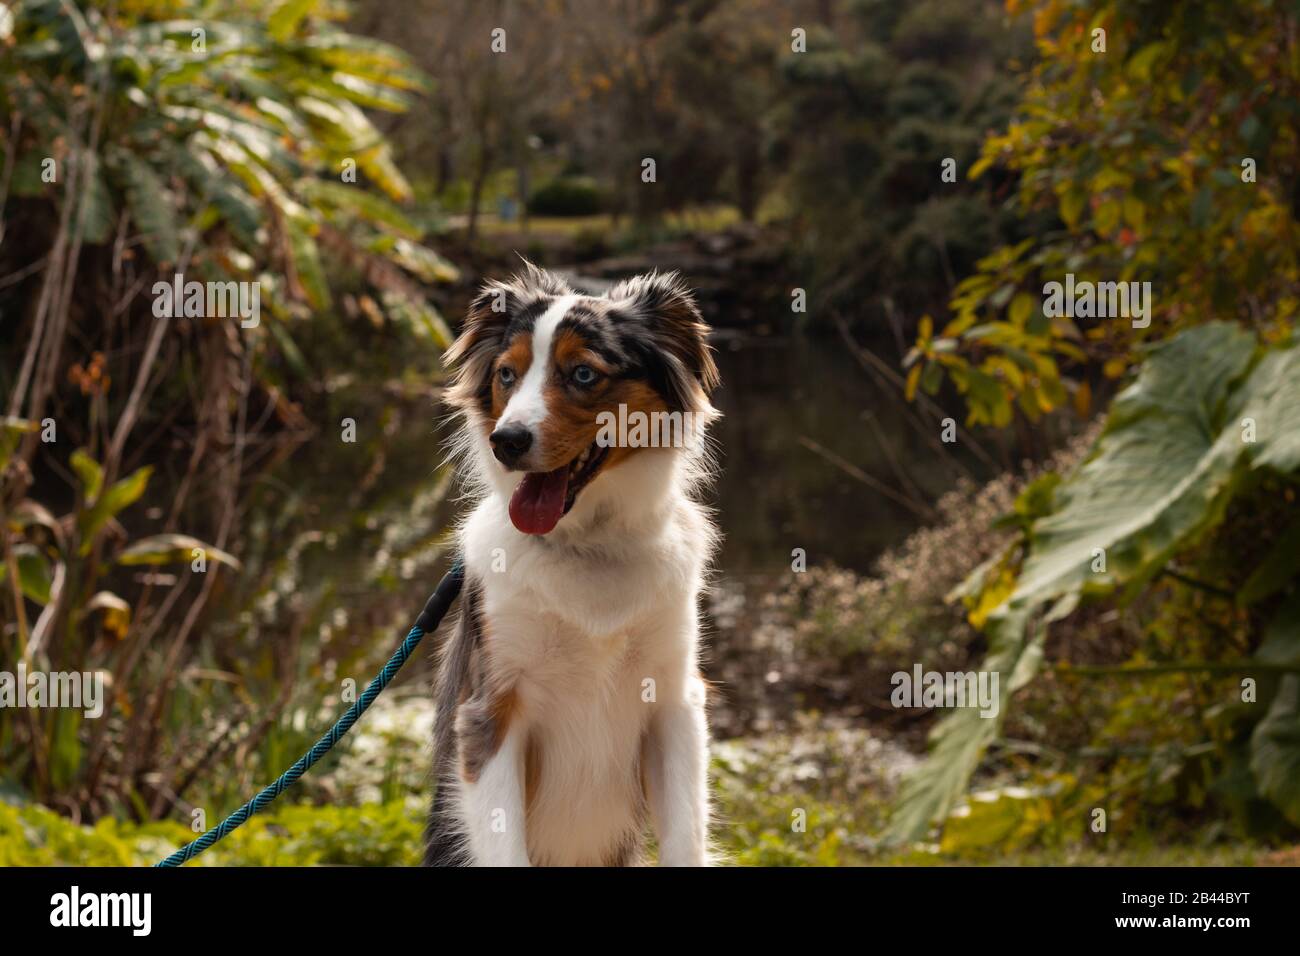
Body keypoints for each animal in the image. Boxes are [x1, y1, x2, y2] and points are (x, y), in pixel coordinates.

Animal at [426, 261, 728, 868]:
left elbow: (685, 839)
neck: (588, 544)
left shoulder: (675, 704)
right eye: (507, 375)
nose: (506, 442)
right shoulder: (490, 711)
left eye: (583, 374)